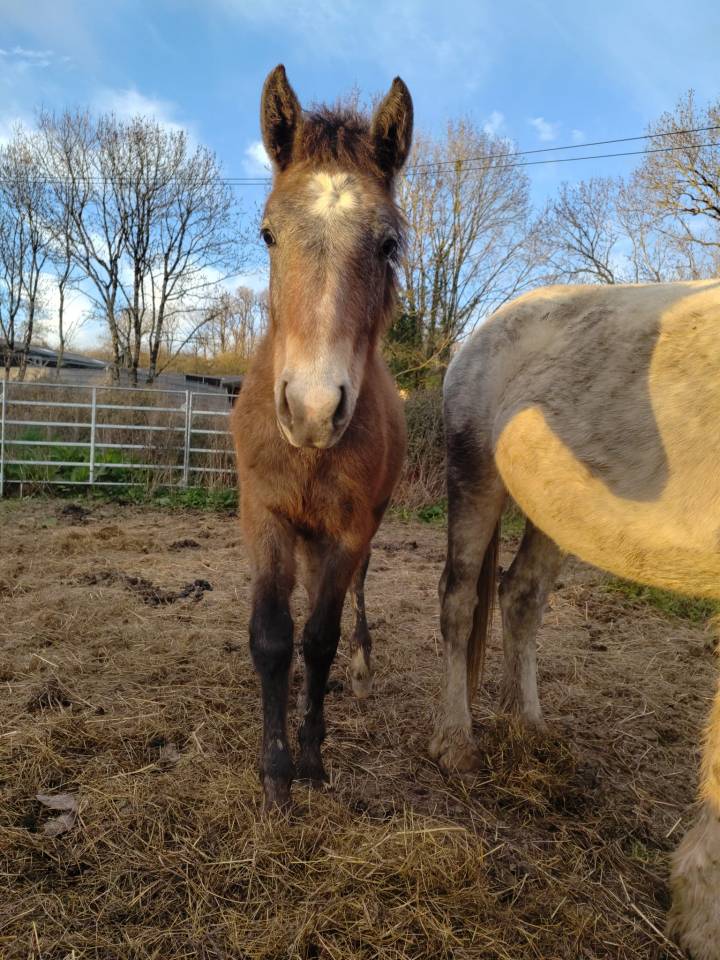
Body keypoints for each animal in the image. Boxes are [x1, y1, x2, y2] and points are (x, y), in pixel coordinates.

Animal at [430, 278, 720, 959]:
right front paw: (703, 918)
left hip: (552, 509)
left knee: (521, 596)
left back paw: (531, 730)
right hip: (476, 477)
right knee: (459, 599)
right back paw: (456, 742)